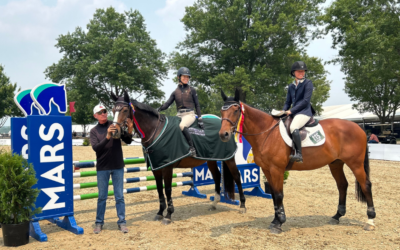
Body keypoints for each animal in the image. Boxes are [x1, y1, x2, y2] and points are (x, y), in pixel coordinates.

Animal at [110, 92, 247, 225]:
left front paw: (168, 215)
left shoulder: (167, 167)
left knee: (236, 176)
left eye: (124, 110)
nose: (114, 132)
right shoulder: (156, 168)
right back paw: (214, 204)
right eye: (113, 109)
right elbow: (159, 190)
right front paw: (160, 213)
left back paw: (242, 205)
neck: (156, 130)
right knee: (217, 176)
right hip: (211, 159)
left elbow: (168, 190)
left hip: (228, 158)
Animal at [217, 89, 374, 234]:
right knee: (342, 185)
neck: (266, 133)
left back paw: (370, 220)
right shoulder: (267, 169)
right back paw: (337, 216)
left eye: (236, 110)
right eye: (221, 111)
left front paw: (279, 223)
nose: (223, 135)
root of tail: (358, 127)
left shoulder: (277, 169)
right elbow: (273, 194)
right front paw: (275, 220)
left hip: (355, 164)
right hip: (336, 163)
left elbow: (279, 194)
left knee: (366, 185)